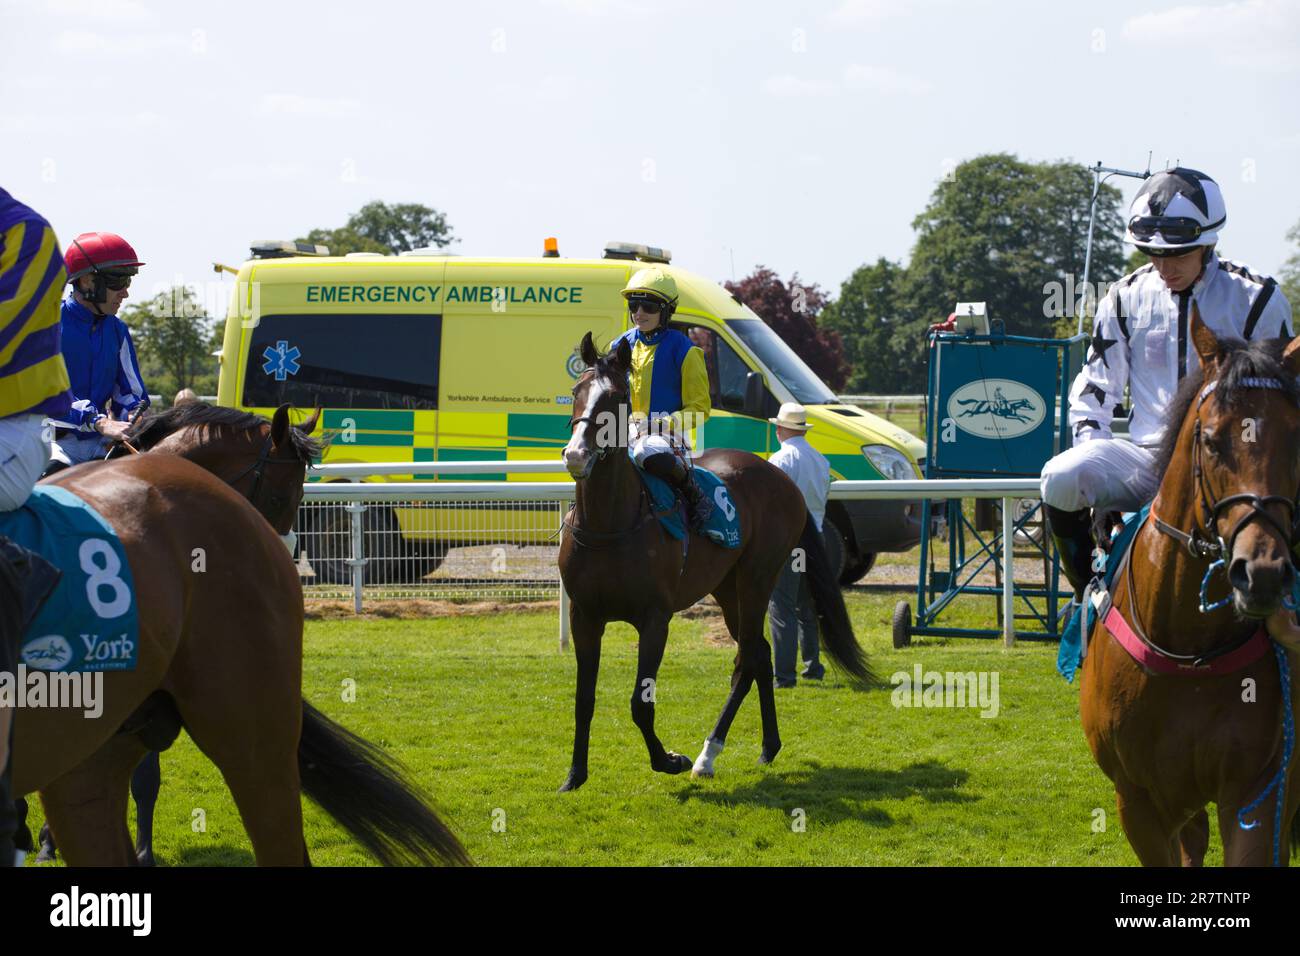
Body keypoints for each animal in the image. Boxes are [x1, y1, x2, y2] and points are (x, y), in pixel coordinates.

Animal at [553, 335, 878, 790]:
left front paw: (669, 759)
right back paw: (768, 746)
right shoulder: (585, 616)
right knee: (758, 652)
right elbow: (584, 699)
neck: (610, 523)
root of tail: (780, 477)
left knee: (746, 661)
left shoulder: (655, 620)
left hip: (757, 579)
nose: (577, 455)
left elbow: (640, 703)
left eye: (616, 396)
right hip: (727, 588)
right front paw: (575, 774)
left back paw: (708, 754)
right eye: (577, 391)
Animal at [1081, 312, 1300, 868]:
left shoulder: (1261, 791)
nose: (1262, 572)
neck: (1187, 648)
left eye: (1297, 440)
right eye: (1212, 440)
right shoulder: (1139, 799)